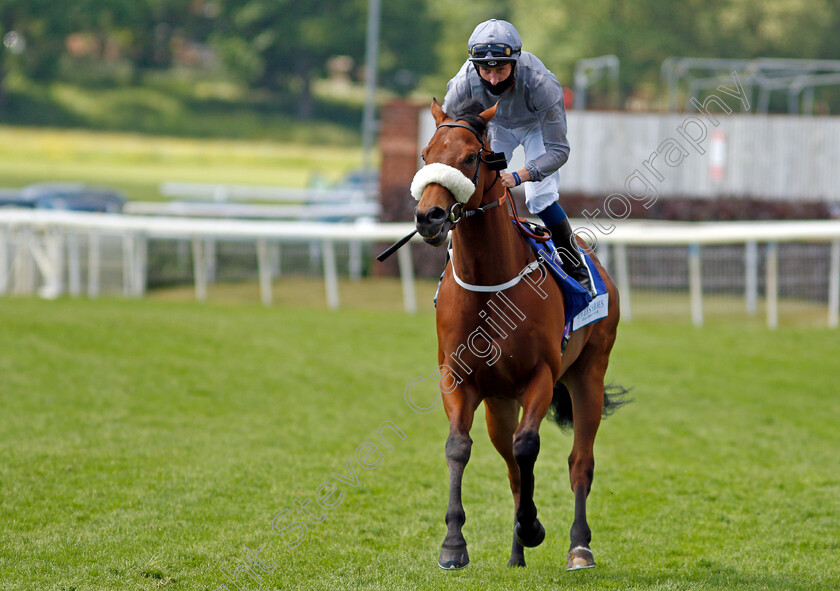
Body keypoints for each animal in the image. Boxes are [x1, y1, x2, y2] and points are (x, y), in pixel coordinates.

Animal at [414, 98, 624, 572]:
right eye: (426, 155)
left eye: (469, 158)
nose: (428, 217)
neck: (490, 285)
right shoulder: (458, 378)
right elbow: (460, 447)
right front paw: (453, 545)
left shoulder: (541, 376)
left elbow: (529, 446)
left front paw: (533, 528)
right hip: (500, 402)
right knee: (511, 466)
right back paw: (515, 556)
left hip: (588, 374)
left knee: (580, 462)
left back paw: (579, 547)